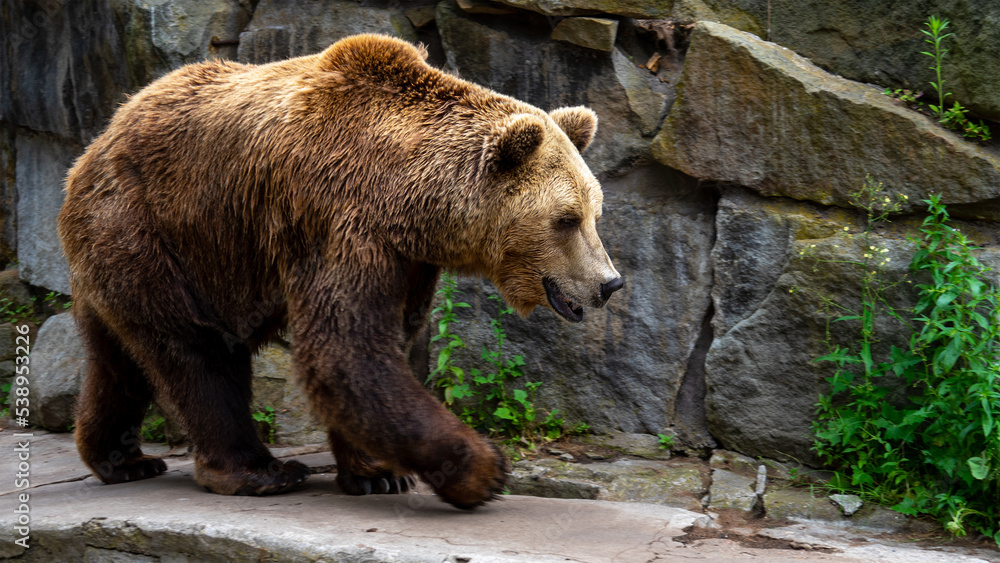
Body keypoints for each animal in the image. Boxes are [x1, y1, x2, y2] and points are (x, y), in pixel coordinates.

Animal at [57, 34, 623, 509]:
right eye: (565, 219)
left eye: (595, 213)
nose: (609, 283)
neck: (412, 197)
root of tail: (94, 145)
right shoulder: (339, 217)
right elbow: (346, 347)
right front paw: (481, 469)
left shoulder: (409, 258)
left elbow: (390, 339)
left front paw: (378, 473)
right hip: (154, 231)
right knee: (198, 351)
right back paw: (257, 471)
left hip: (124, 257)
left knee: (119, 359)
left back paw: (120, 458)